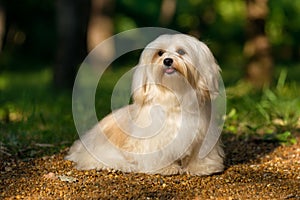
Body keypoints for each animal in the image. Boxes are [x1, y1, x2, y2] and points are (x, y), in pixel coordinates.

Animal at [66, 33, 225, 176]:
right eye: (160, 53)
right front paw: (165, 168)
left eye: (181, 51)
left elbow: (200, 153)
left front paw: (201, 168)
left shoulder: (203, 134)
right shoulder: (154, 139)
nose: (167, 60)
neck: (176, 95)